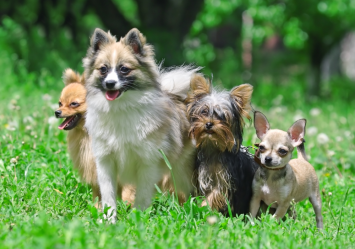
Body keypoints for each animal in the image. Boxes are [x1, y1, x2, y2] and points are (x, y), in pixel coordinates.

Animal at [55, 68, 135, 206]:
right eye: (60, 103)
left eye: (74, 104)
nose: (57, 112)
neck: (87, 136)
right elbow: (99, 198)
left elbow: (127, 196)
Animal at [84, 28, 200, 222]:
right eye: (103, 69)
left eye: (124, 69)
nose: (110, 83)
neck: (121, 108)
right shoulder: (106, 161)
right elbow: (108, 195)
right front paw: (109, 220)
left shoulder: (148, 163)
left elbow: (142, 195)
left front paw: (137, 219)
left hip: (184, 172)